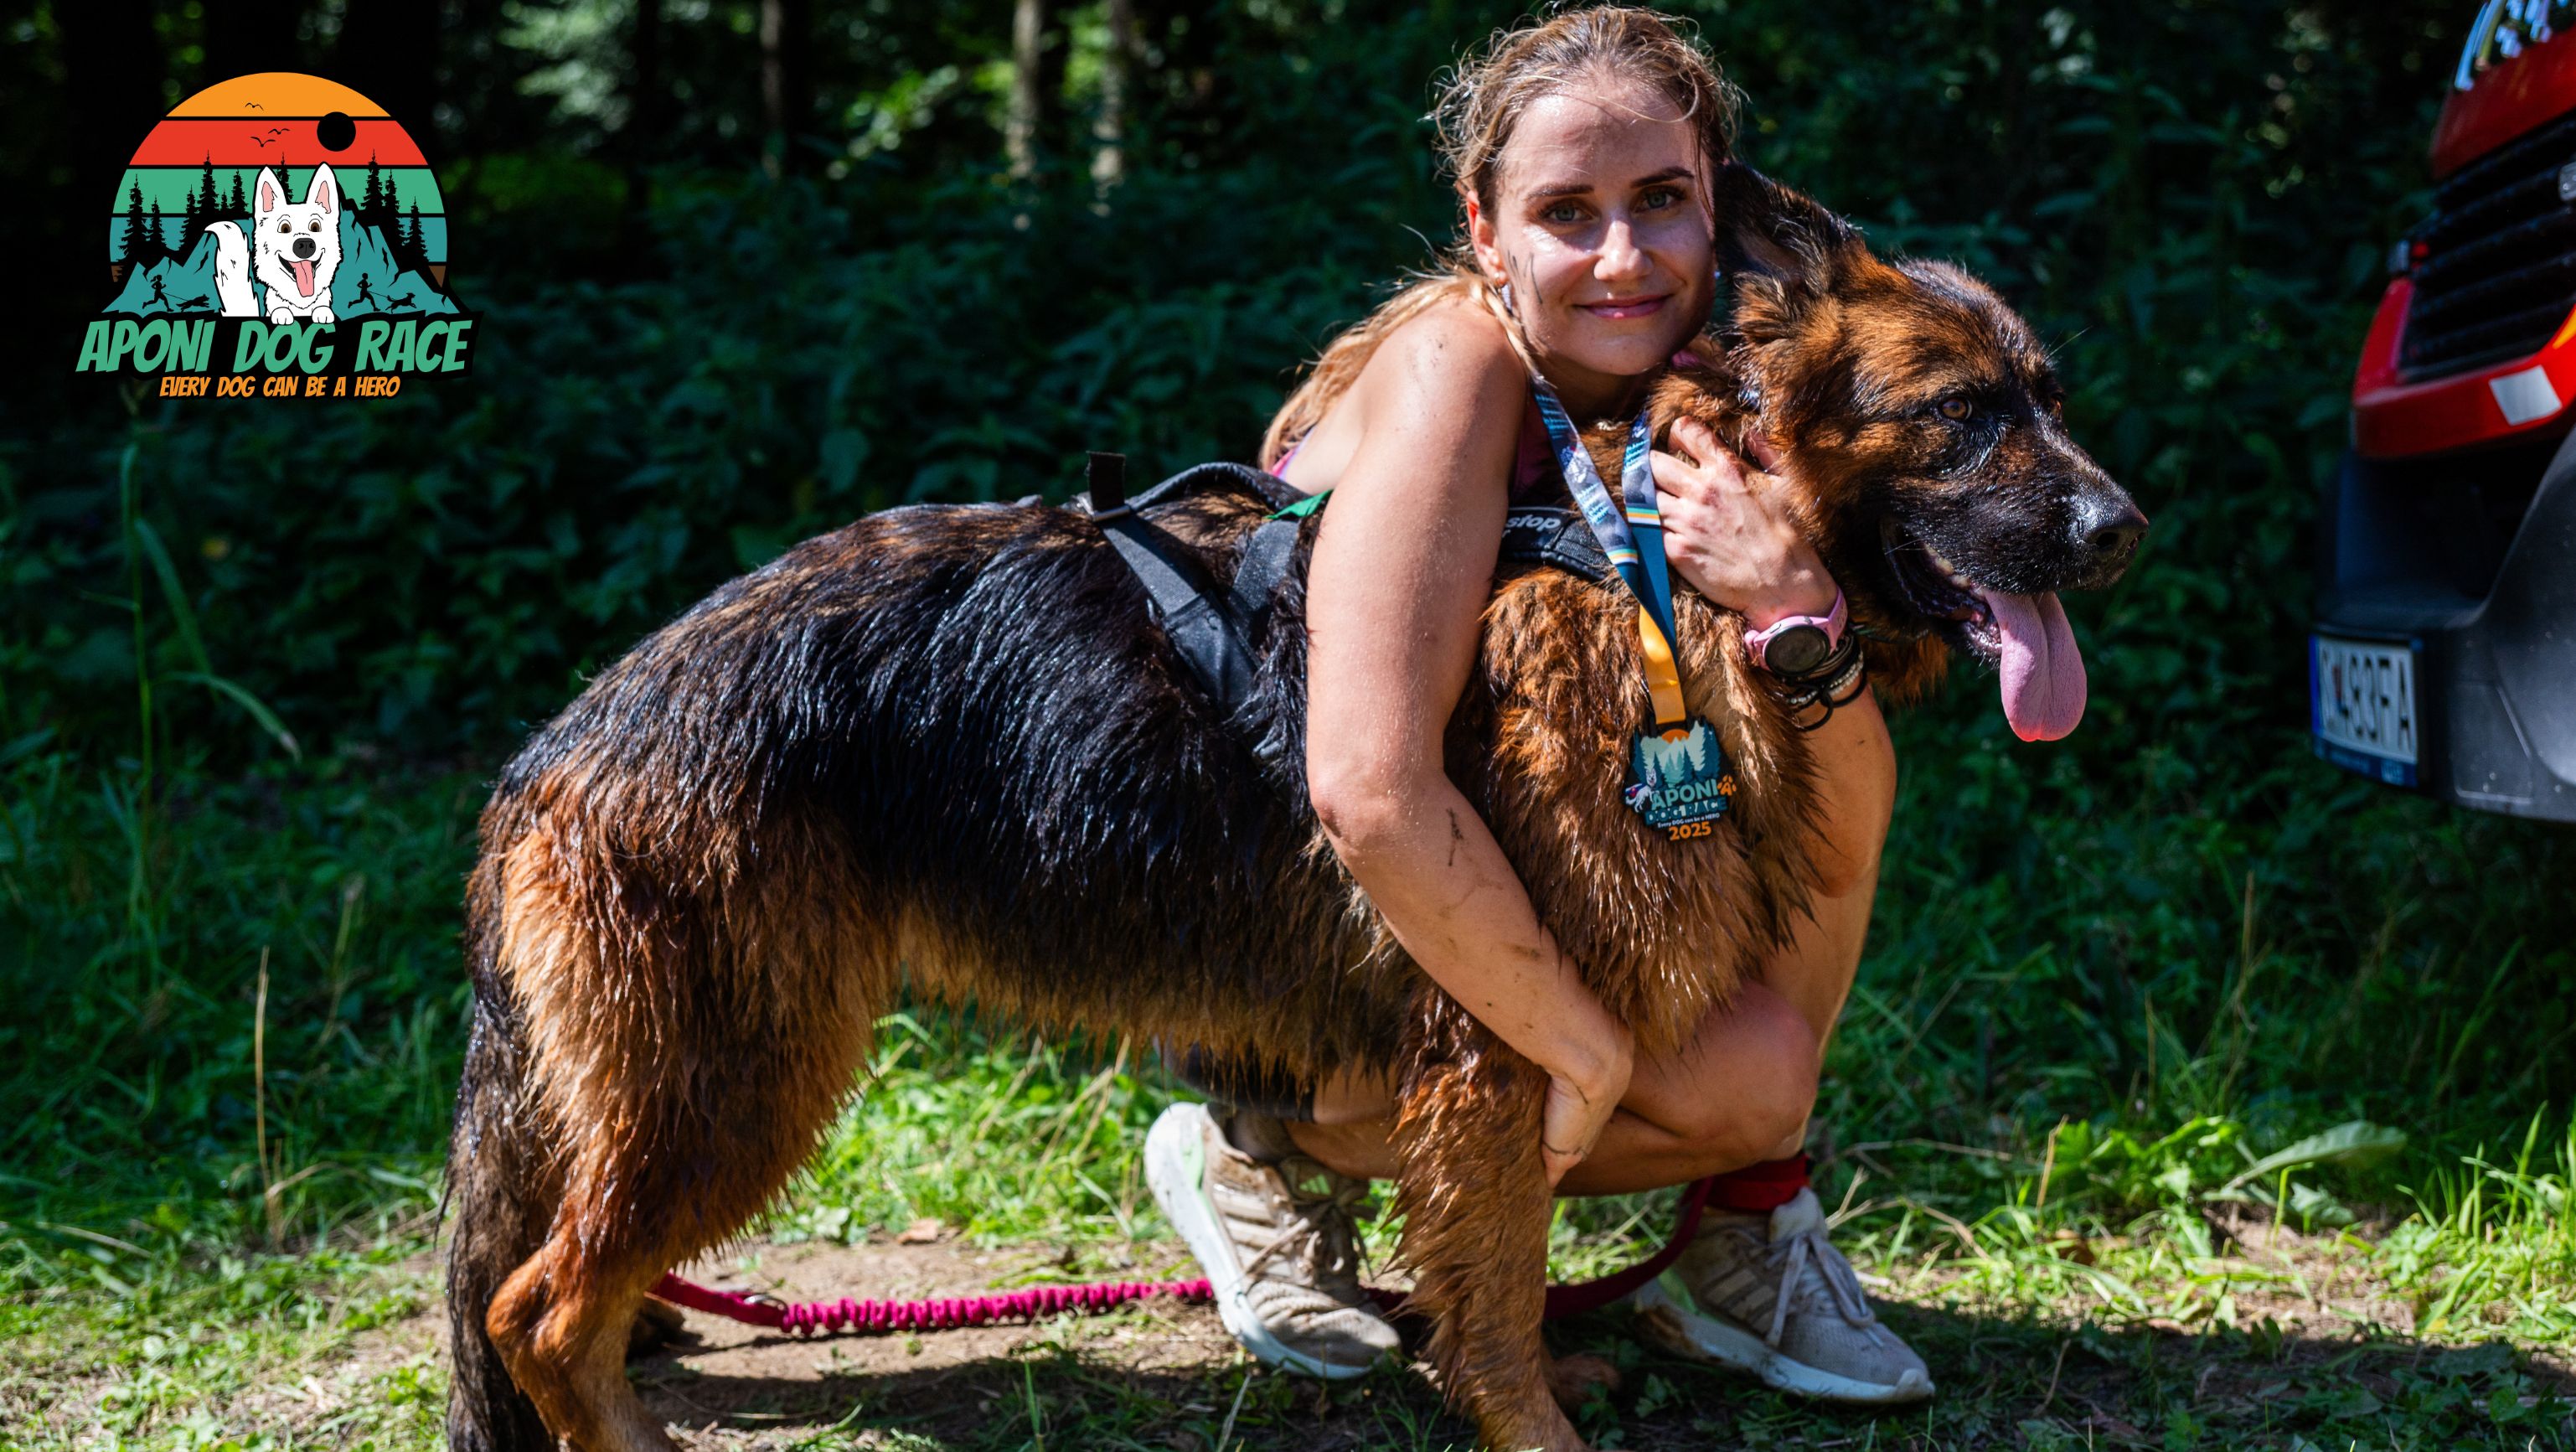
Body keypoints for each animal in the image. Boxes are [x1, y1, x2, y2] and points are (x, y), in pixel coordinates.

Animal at [205, 164, 341, 324]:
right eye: (284, 228)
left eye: (315, 227)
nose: (305, 245)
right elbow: (280, 308)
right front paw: (282, 312)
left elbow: (321, 306)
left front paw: (322, 311)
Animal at [444, 164, 2144, 1452]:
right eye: (1958, 411)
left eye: (2051, 398)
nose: (2121, 528)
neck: (1653, 557)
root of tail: (565, 737)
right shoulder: (1507, 1050)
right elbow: (1500, 1273)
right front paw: (1530, 1420)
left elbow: (1488, 1262)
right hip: (737, 1079)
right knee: (538, 1304)